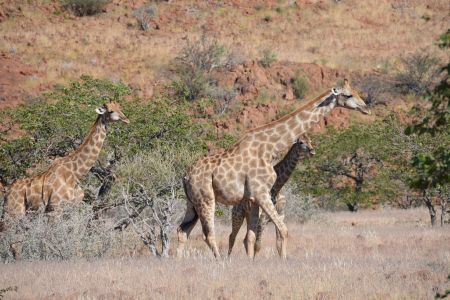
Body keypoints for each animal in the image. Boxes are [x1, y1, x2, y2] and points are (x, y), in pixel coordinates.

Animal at [176, 79, 370, 258]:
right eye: (348, 95)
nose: (366, 108)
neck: (270, 148)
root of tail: (185, 176)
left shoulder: (254, 199)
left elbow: (252, 237)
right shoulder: (261, 194)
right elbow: (282, 231)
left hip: (192, 202)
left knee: (182, 231)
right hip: (206, 198)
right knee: (208, 234)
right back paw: (220, 261)